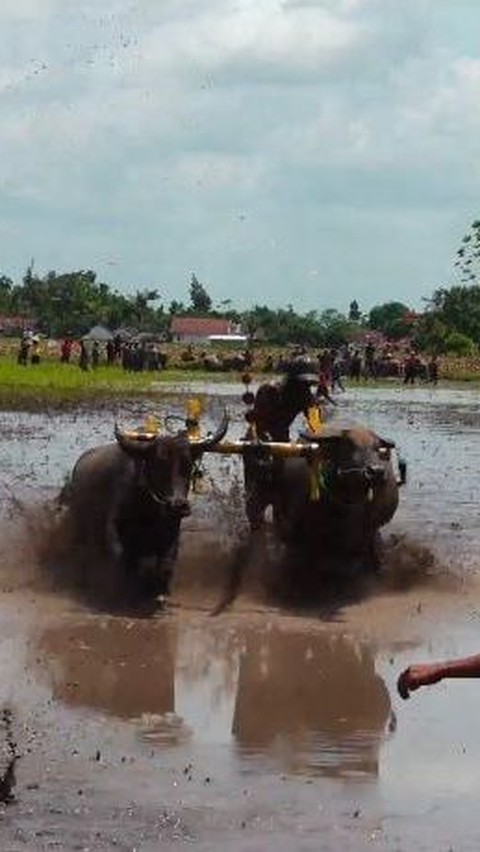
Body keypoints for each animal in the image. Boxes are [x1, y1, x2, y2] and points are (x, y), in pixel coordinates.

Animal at [61, 416, 229, 596]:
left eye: (188, 464)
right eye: (158, 464)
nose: (177, 505)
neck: (147, 507)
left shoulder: (171, 530)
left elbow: (166, 564)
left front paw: (161, 591)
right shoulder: (114, 526)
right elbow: (121, 557)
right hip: (80, 528)